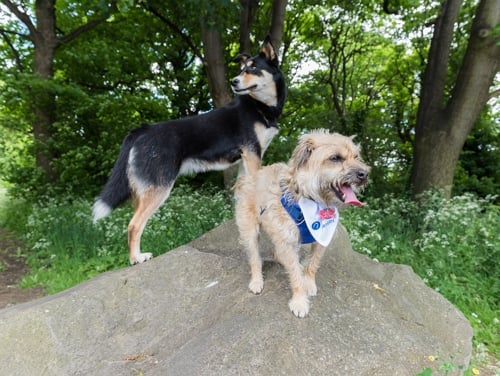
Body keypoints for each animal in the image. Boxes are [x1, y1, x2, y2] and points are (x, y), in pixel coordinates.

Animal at [91, 36, 284, 264]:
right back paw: (136, 258)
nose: (234, 81)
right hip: (159, 187)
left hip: (143, 189)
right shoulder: (253, 156)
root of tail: (142, 130)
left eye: (253, 68)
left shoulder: (246, 162)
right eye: (243, 68)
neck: (258, 106)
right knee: (134, 225)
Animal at [233, 129, 368, 318]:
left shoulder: (320, 240)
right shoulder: (287, 241)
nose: (365, 174)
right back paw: (257, 281)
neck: (312, 199)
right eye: (335, 158)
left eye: (356, 157)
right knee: (254, 259)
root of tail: (254, 174)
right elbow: (295, 273)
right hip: (250, 231)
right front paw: (300, 301)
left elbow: (312, 264)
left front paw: (309, 283)